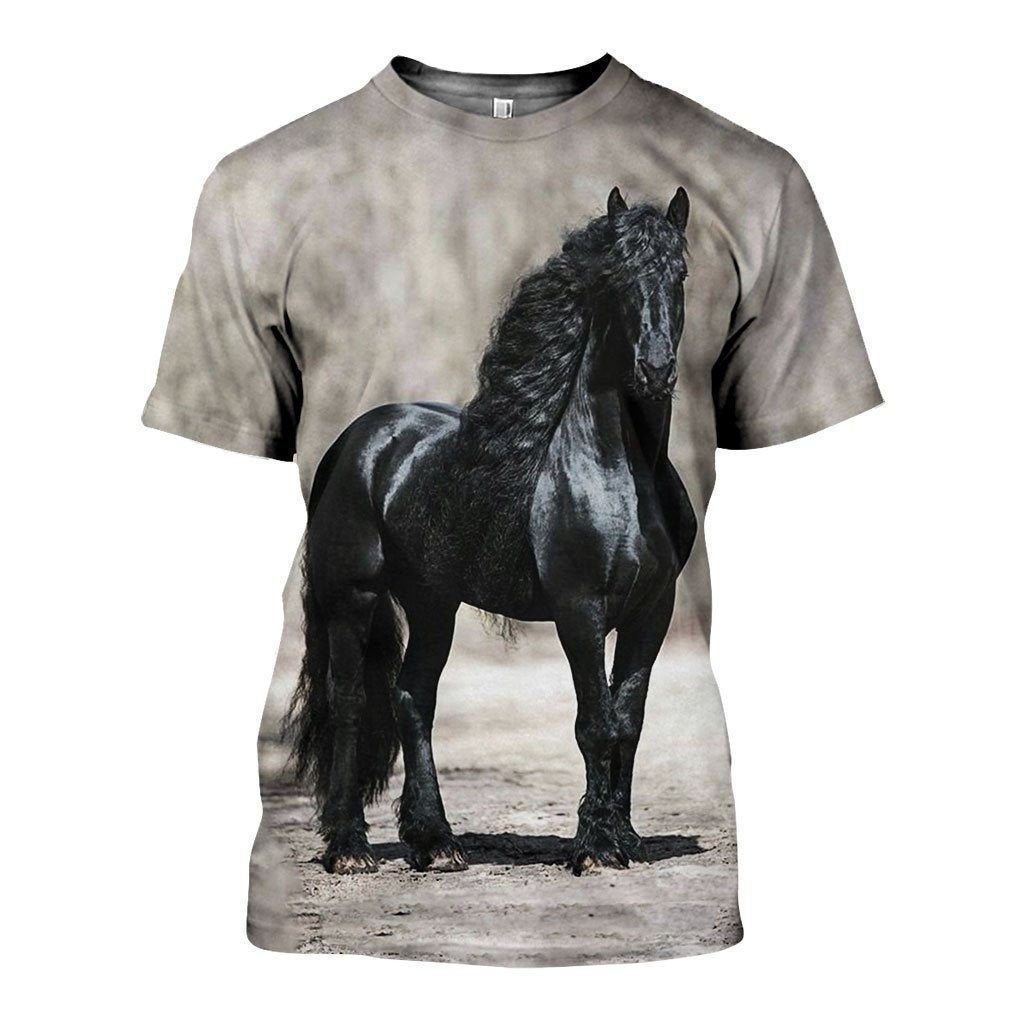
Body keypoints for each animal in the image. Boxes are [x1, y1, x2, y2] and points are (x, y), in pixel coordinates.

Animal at [285, 186, 697, 876]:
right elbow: (595, 723)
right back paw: (349, 848)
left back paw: (437, 843)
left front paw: (624, 837)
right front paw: (594, 847)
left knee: (411, 698)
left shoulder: (652, 611)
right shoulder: (578, 610)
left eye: (681, 275)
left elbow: (628, 721)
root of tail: (357, 440)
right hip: (354, 598)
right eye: (615, 279)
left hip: (433, 603)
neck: (616, 474)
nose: (656, 370)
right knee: (351, 701)